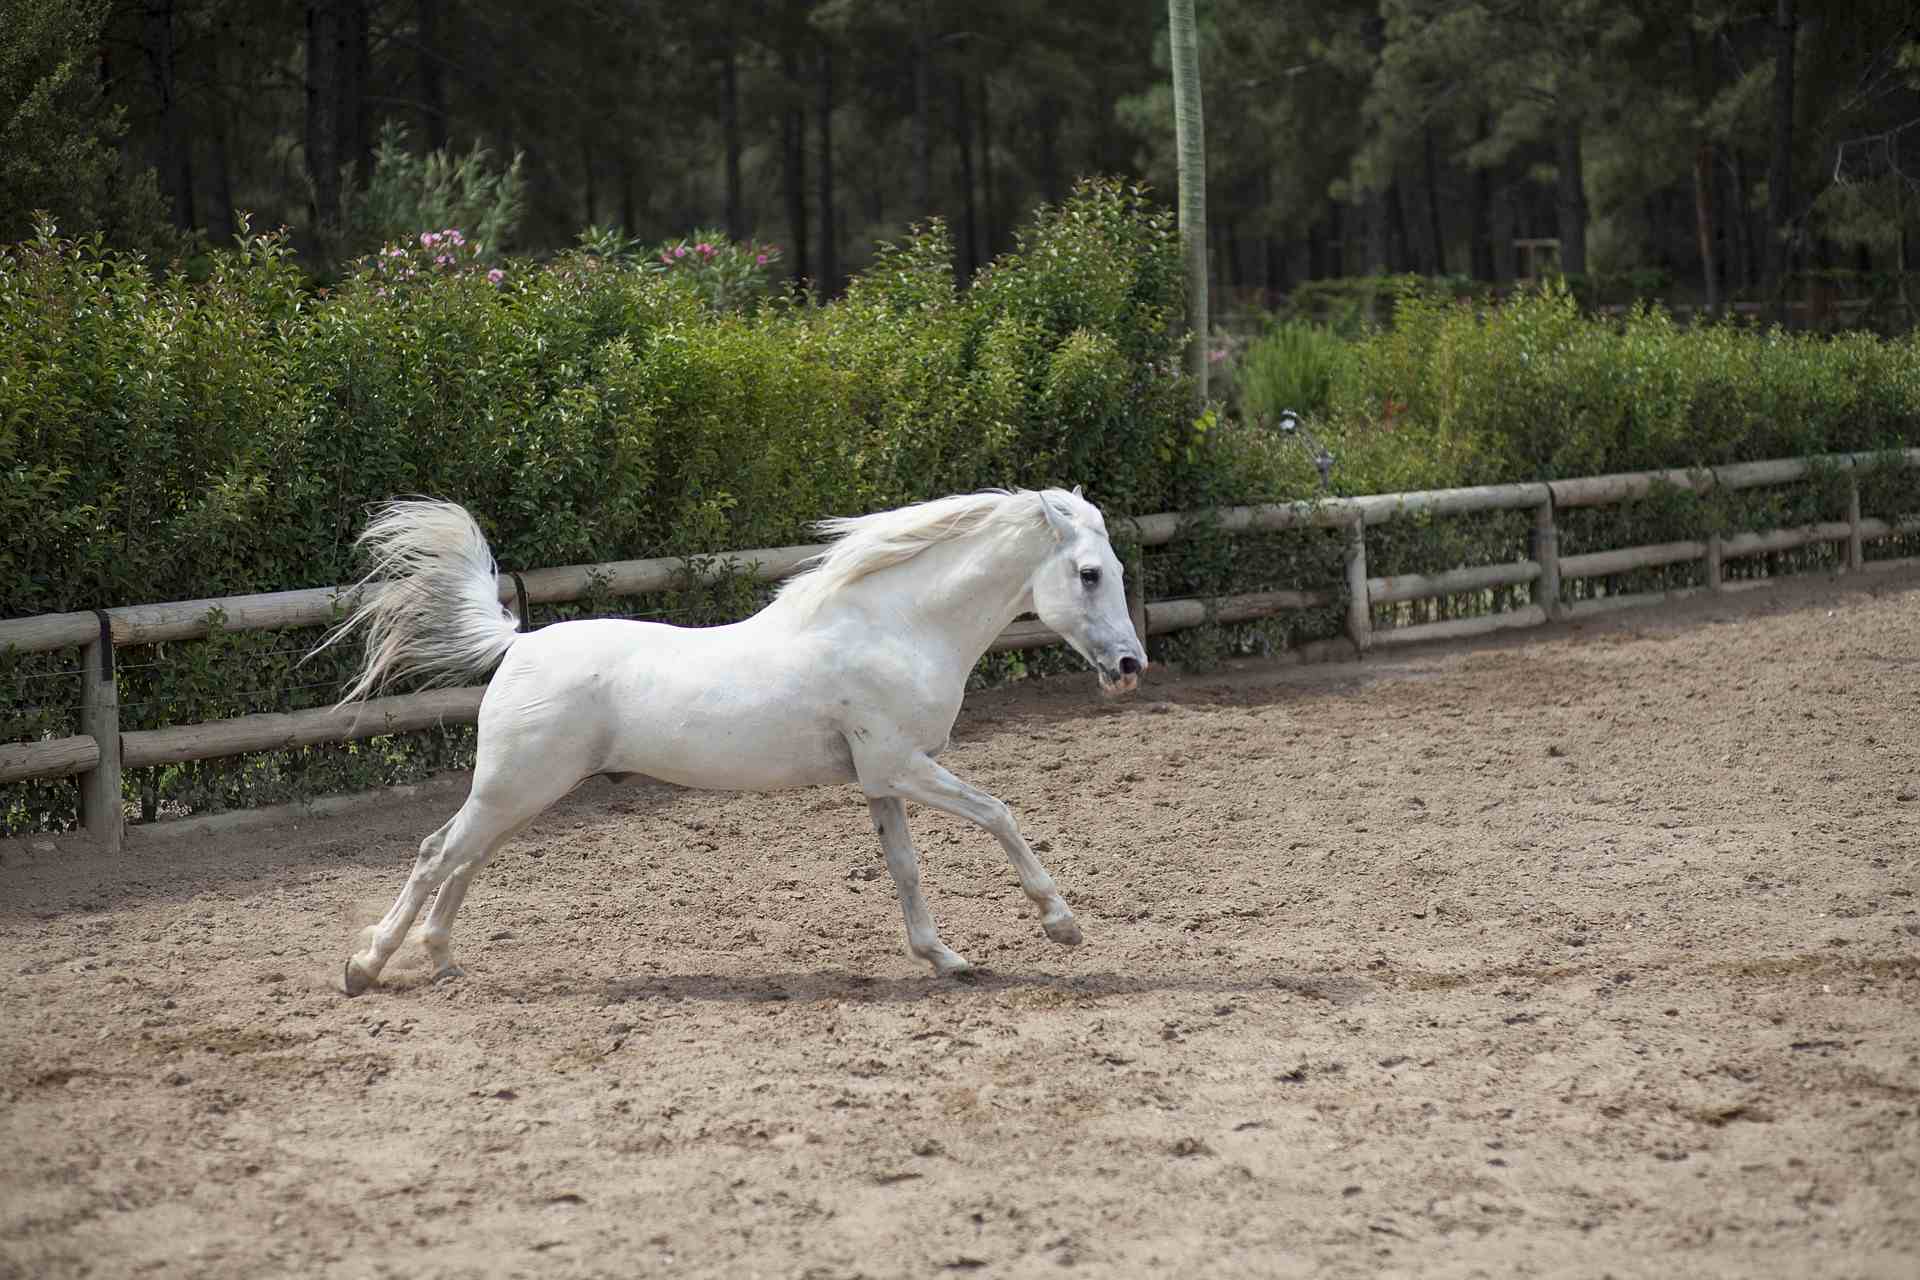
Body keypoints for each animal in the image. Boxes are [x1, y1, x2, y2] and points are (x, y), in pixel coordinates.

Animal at [322, 485, 1144, 997]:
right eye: (1090, 573)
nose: (1131, 667)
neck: (896, 628)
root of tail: (517, 644)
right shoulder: (903, 767)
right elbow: (1000, 814)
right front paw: (1062, 926)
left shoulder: (881, 780)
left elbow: (906, 870)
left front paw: (945, 959)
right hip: (514, 787)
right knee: (437, 853)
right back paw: (366, 967)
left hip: (521, 795)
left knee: (463, 860)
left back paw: (441, 961)